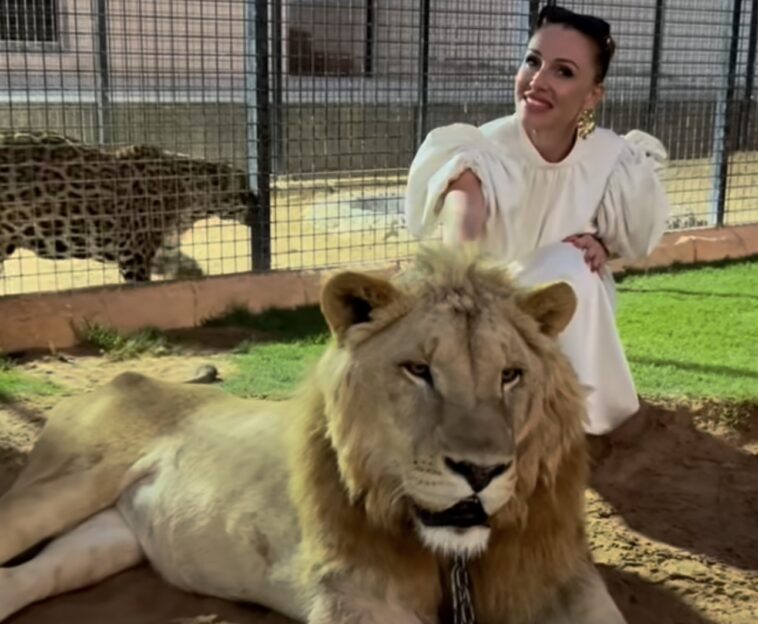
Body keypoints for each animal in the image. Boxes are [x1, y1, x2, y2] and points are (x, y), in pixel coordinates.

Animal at [0, 245, 626, 624]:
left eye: (510, 375)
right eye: (418, 370)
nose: (480, 472)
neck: (453, 560)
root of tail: (124, 377)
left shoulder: (560, 578)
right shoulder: (354, 593)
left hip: (109, 537)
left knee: (25, 578)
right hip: (65, 485)